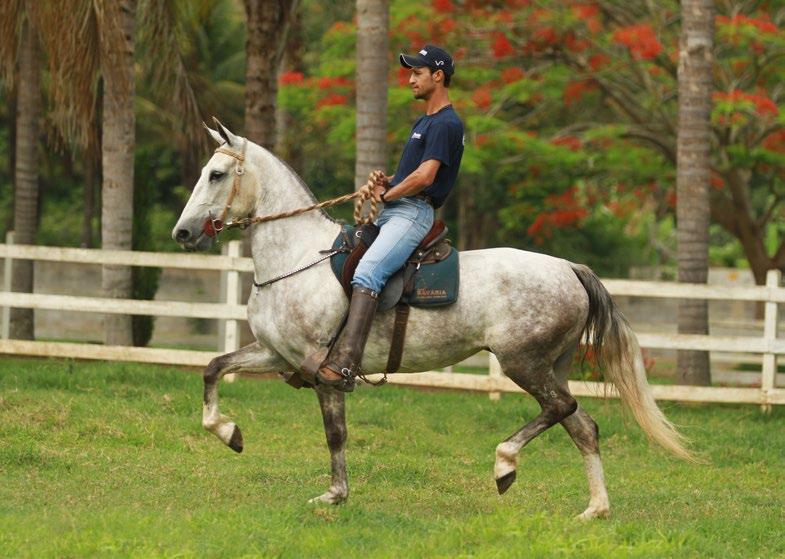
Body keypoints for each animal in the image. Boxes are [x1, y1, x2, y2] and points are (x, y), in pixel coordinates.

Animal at [170, 121, 688, 520]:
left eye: (216, 174)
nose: (183, 233)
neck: (299, 259)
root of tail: (569, 269)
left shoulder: (324, 370)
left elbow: (335, 433)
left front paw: (335, 495)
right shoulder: (278, 355)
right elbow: (213, 368)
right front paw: (229, 433)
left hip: (522, 362)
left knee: (561, 409)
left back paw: (505, 465)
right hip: (550, 366)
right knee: (582, 425)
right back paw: (595, 509)